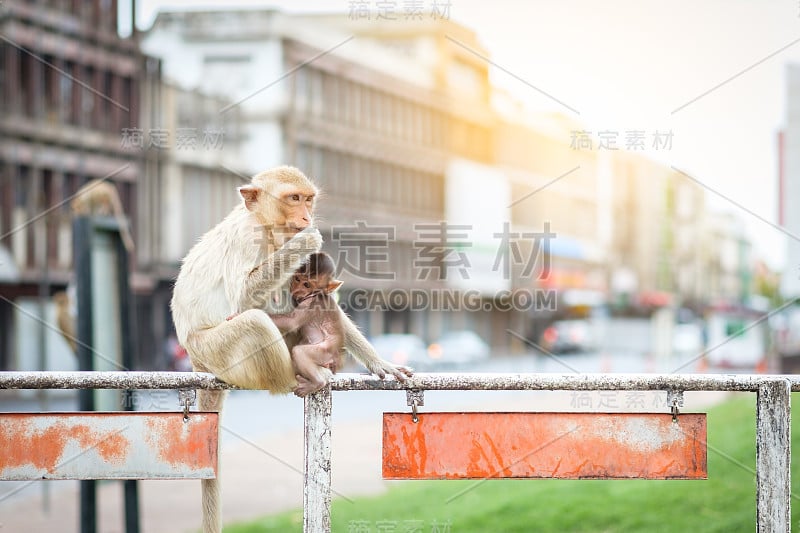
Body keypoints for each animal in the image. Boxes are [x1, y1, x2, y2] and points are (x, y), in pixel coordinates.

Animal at [270, 252, 346, 394]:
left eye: (307, 285)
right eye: (297, 279)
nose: (296, 290)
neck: (316, 294)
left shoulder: (310, 303)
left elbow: (291, 322)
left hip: (325, 352)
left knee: (300, 352)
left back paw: (316, 383)